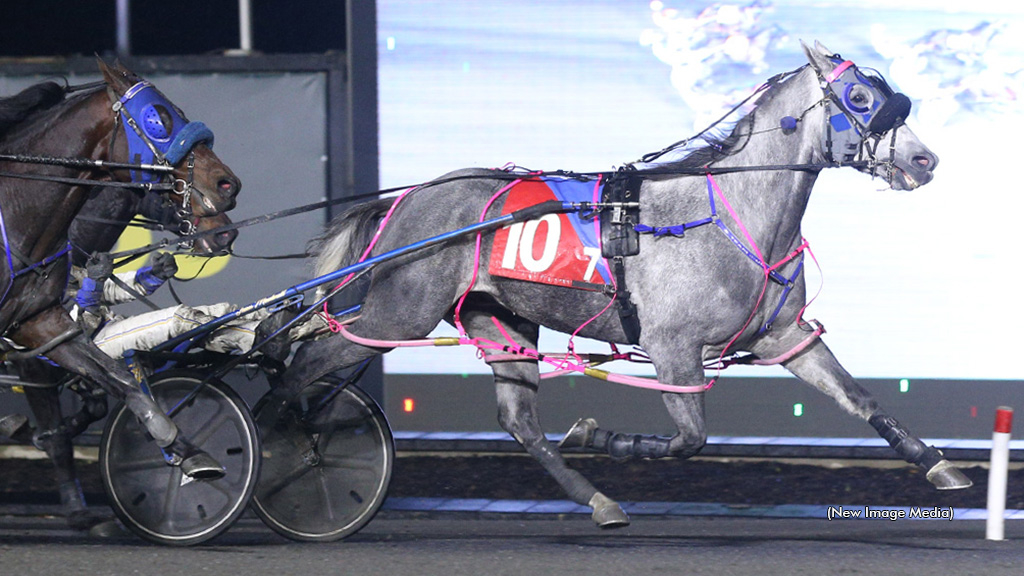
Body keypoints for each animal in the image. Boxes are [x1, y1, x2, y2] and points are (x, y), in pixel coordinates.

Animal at [0, 59, 241, 479]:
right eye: (159, 119)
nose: (228, 185)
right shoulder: (28, 355)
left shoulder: (38, 323)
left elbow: (120, 382)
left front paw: (187, 450)